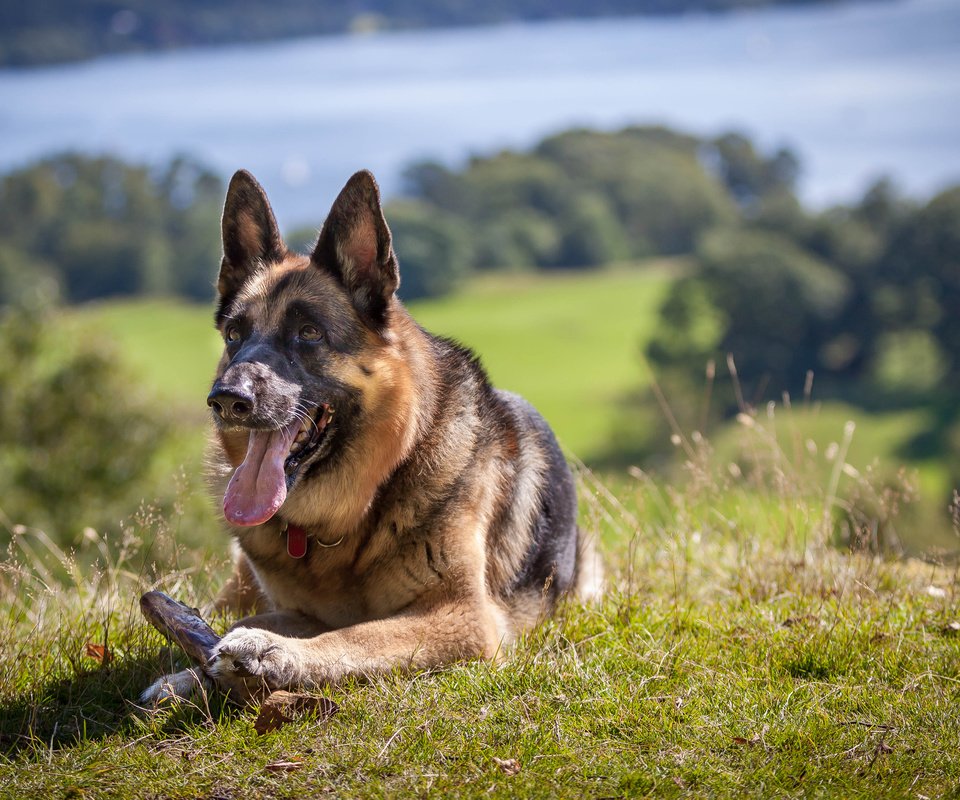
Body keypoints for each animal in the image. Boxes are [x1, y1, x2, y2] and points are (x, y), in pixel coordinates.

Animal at [141, 172, 600, 704]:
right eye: (235, 334)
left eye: (309, 333)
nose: (227, 399)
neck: (348, 517)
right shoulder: (296, 606)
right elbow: (252, 622)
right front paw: (192, 673)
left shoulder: (463, 617)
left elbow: (355, 635)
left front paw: (272, 653)